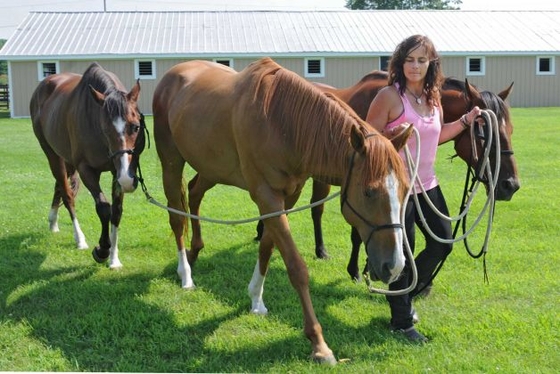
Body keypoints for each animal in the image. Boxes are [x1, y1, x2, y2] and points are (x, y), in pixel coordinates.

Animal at [30, 62, 144, 270]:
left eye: (136, 126)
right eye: (105, 129)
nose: (127, 180)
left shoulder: (117, 171)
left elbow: (116, 212)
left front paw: (114, 259)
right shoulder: (86, 170)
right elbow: (104, 208)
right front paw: (102, 250)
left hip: (67, 159)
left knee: (60, 187)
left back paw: (53, 221)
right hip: (52, 155)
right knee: (67, 195)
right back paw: (79, 238)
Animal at [152, 58, 412, 366]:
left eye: (405, 190)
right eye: (369, 192)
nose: (394, 266)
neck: (281, 121)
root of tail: (174, 73)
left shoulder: (287, 196)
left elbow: (267, 246)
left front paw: (256, 299)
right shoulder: (267, 197)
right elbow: (296, 267)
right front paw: (319, 344)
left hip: (211, 168)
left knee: (194, 192)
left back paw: (196, 251)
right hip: (171, 161)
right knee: (176, 217)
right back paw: (186, 273)